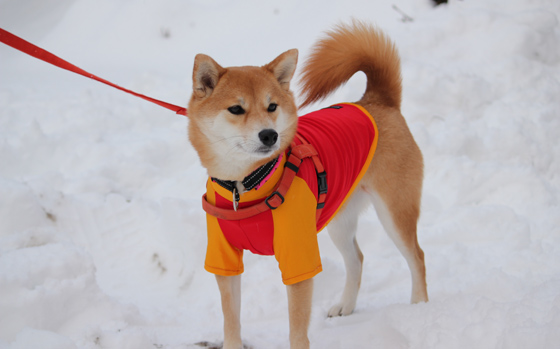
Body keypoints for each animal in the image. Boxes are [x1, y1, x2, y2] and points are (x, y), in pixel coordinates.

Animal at [188, 21, 428, 348]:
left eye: (272, 106)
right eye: (236, 109)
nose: (269, 135)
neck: (248, 182)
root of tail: (375, 102)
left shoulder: (299, 258)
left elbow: (297, 329)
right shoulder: (224, 259)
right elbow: (232, 322)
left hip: (395, 212)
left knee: (417, 257)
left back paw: (419, 308)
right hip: (340, 218)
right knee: (357, 259)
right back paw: (346, 306)